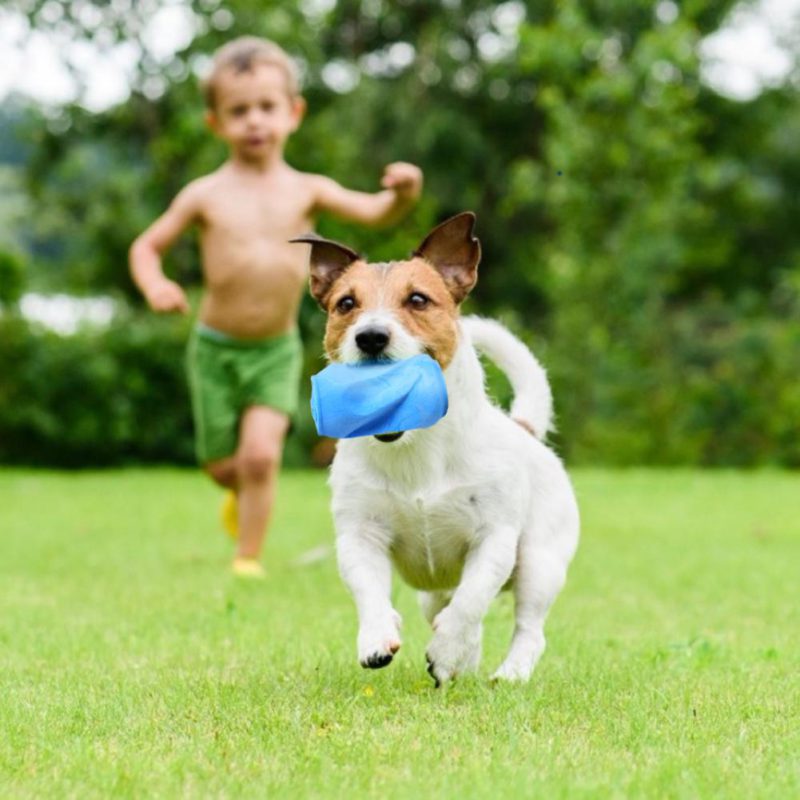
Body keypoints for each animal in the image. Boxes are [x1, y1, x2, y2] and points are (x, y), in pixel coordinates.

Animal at [294, 212, 580, 680]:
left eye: (418, 299)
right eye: (346, 304)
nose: (370, 336)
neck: (416, 449)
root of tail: (523, 428)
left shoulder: (494, 538)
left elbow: (470, 601)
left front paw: (446, 649)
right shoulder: (360, 534)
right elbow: (369, 591)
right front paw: (377, 638)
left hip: (541, 561)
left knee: (526, 627)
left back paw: (507, 673)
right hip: (434, 590)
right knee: (448, 609)